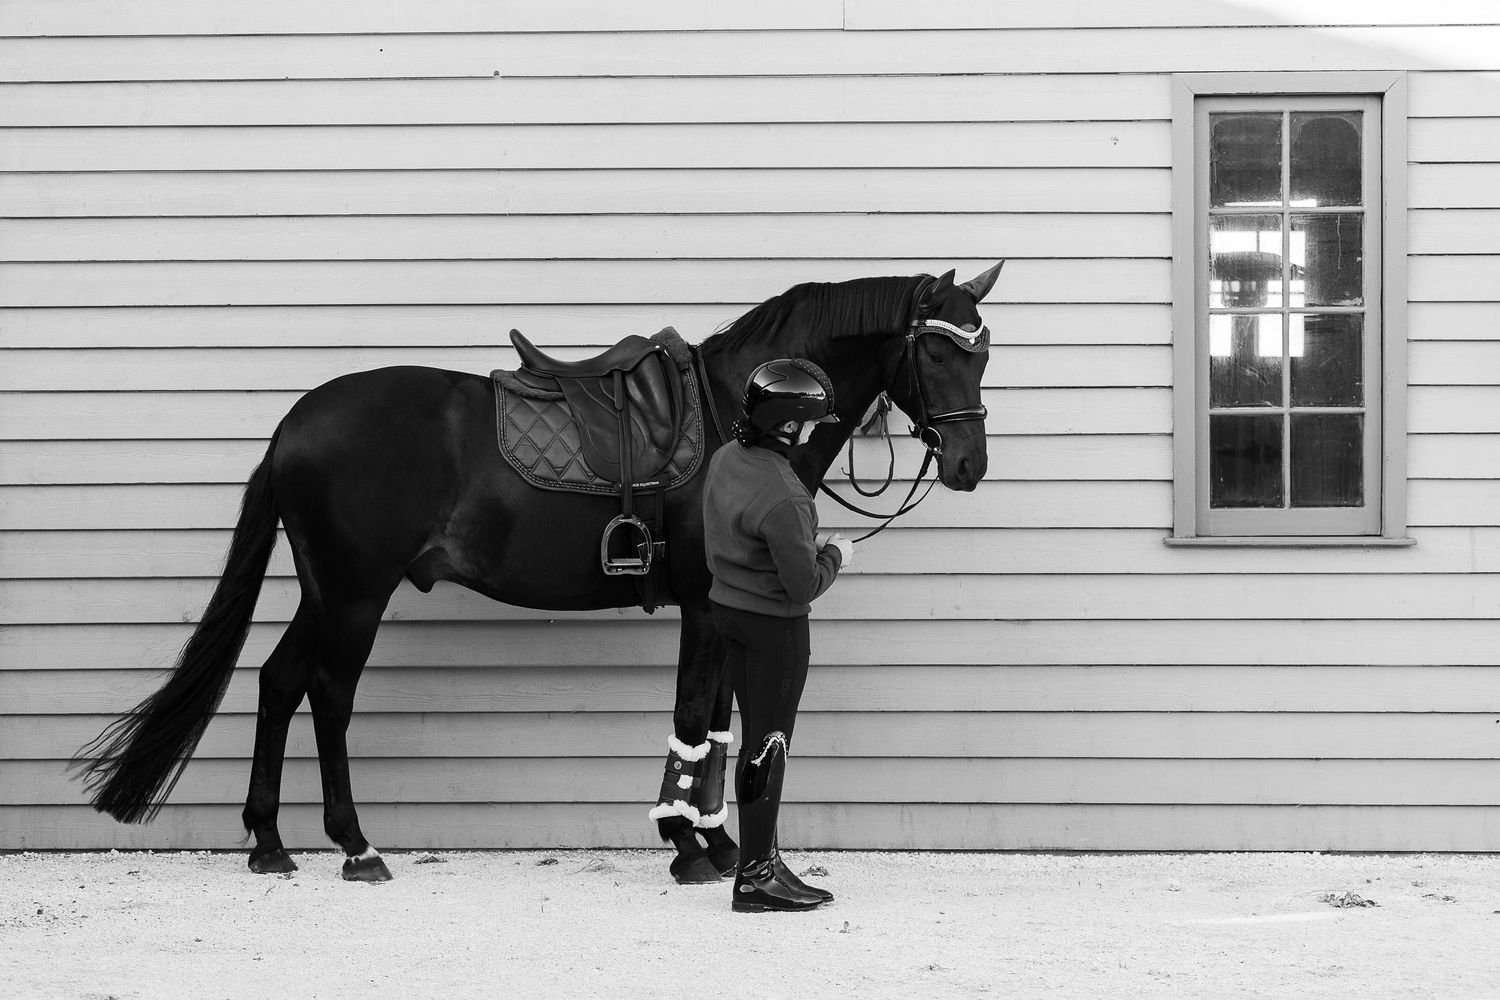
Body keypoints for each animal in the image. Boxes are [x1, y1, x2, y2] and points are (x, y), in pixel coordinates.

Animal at [72, 263, 1003, 883]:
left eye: (983, 352)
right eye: (937, 354)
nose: (968, 464)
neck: (739, 416)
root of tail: (292, 425)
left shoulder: (726, 608)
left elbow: (718, 723)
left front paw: (715, 839)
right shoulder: (706, 604)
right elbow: (694, 717)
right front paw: (690, 849)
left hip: (324, 591)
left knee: (276, 681)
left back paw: (268, 843)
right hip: (354, 595)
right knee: (327, 694)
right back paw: (356, 846)